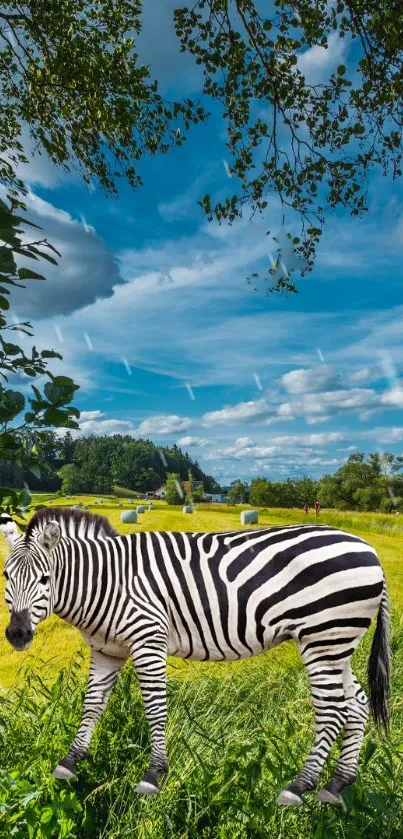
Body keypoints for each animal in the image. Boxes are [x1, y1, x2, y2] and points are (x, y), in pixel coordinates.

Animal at [0, 506, 392, 808]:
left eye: (45, 578)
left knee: (332, 710)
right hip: (338, 642)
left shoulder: (148, 639)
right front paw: (70, 761)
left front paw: (154, 775)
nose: (17, 635)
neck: (108, 582)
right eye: (5, 576)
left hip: (322, 637)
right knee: (356, 703)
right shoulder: (107, 649)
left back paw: (299, 786)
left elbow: (154, 707)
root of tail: (371, 551)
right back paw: (337, 784)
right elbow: (93, 705)